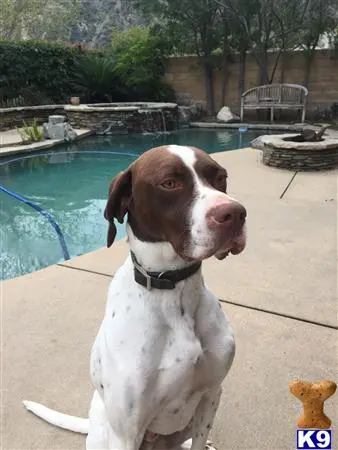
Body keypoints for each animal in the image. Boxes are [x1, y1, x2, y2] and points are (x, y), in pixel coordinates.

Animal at [23, 146, 246, 448]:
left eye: (220, 178)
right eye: (169, 183)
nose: (235, 213)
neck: (172, 289)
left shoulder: (211, 395)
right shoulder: (127, 431)